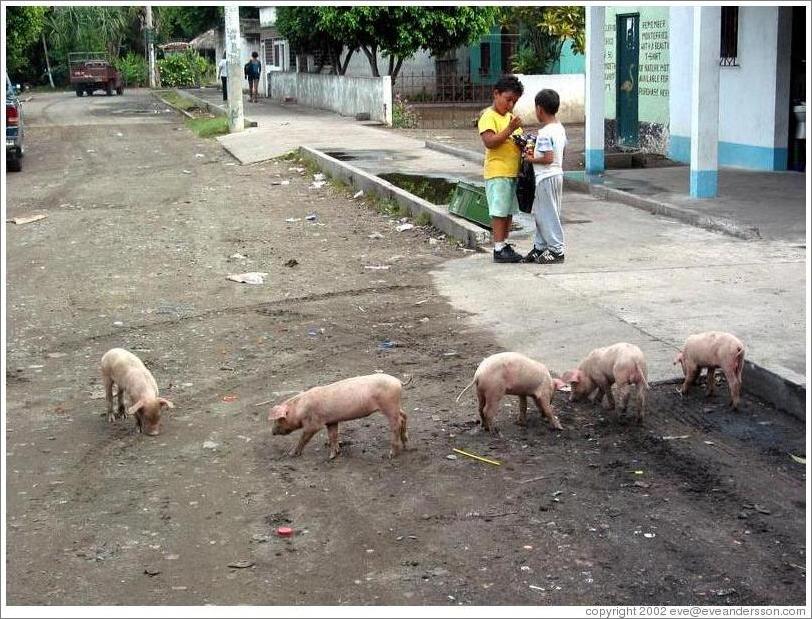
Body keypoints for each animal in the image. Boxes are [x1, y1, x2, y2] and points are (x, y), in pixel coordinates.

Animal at [270, 372, 410, 460]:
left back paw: (390, 455)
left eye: (278, 420)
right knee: (404, 415)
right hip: (395, 405)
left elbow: (304, 438)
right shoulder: (331, 421)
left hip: (389, 405)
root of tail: (398, 381)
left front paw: (291, 454)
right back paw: (406, 445)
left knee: (396, 423)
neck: (299, 410)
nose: (272, 432)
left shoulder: (314, 424)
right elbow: (333, 435)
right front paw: (333, 455)